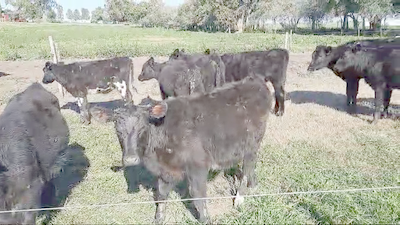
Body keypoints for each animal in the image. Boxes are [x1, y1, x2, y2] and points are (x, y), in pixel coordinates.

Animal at [114, 75, 274, 223]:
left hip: (251, 144)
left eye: (142, 127)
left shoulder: (198, 165)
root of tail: (254, 80)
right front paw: (158, 218)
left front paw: (205, 219)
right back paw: (253, 185)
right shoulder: (165, 171)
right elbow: (161, 194)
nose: (130, 159)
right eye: (117, 130)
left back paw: (240, 198)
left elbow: (198, 194)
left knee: (248, 167)